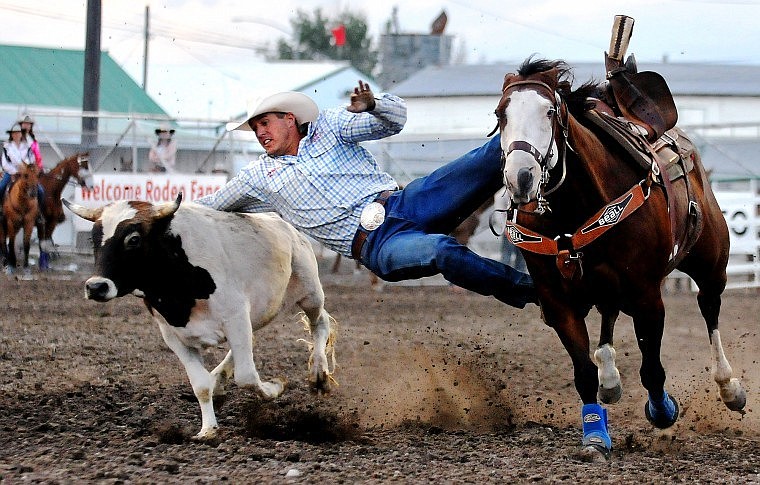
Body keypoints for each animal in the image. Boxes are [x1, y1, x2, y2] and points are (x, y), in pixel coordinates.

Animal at [496, 58, 744, 460]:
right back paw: (609, 378)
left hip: (710, 263)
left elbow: (652, 370)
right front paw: (595, 436)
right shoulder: (558, 303)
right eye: (500, 114)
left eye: (549, 112)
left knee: (710, 309)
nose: (521, 177)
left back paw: (729, 386)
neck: (571, 212)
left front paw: (663, 411)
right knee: (608, 317)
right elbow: (583, 372)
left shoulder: (646, 296)